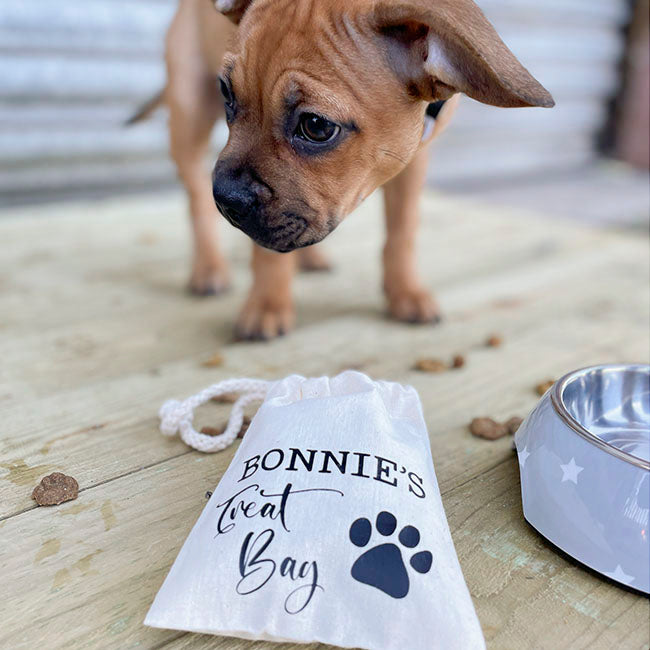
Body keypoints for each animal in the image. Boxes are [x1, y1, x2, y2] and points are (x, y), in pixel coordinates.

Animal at [158, 0, 552, 342]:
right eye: (225, 91)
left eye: (316, 126)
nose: (226, 199)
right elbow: (267, 251)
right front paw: (267, 304)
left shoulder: (413, 157)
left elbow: (402, 232)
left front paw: (405, 292)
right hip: (188, 119)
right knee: (196, 199)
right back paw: (209, 268)